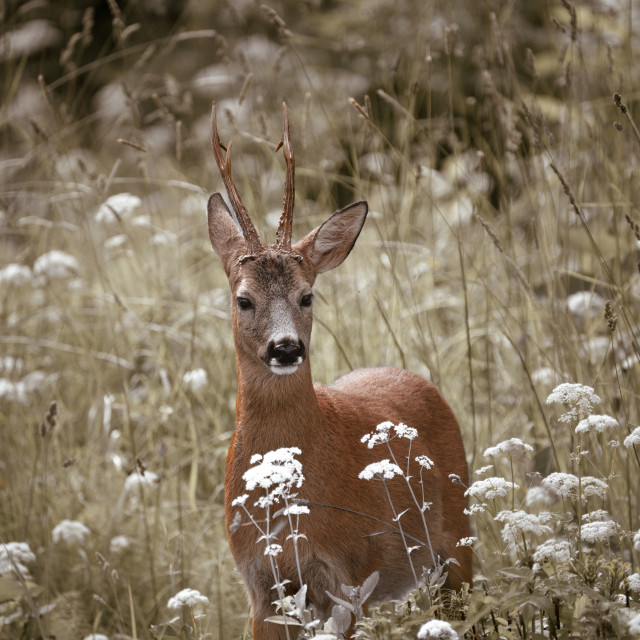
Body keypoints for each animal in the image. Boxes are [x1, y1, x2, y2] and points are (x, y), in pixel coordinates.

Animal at [205, 102, 470, 636]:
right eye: (243, 299)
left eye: (307, 295)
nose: (286, 348)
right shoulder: (260, 585)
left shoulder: (348, 578)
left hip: (457, 537)